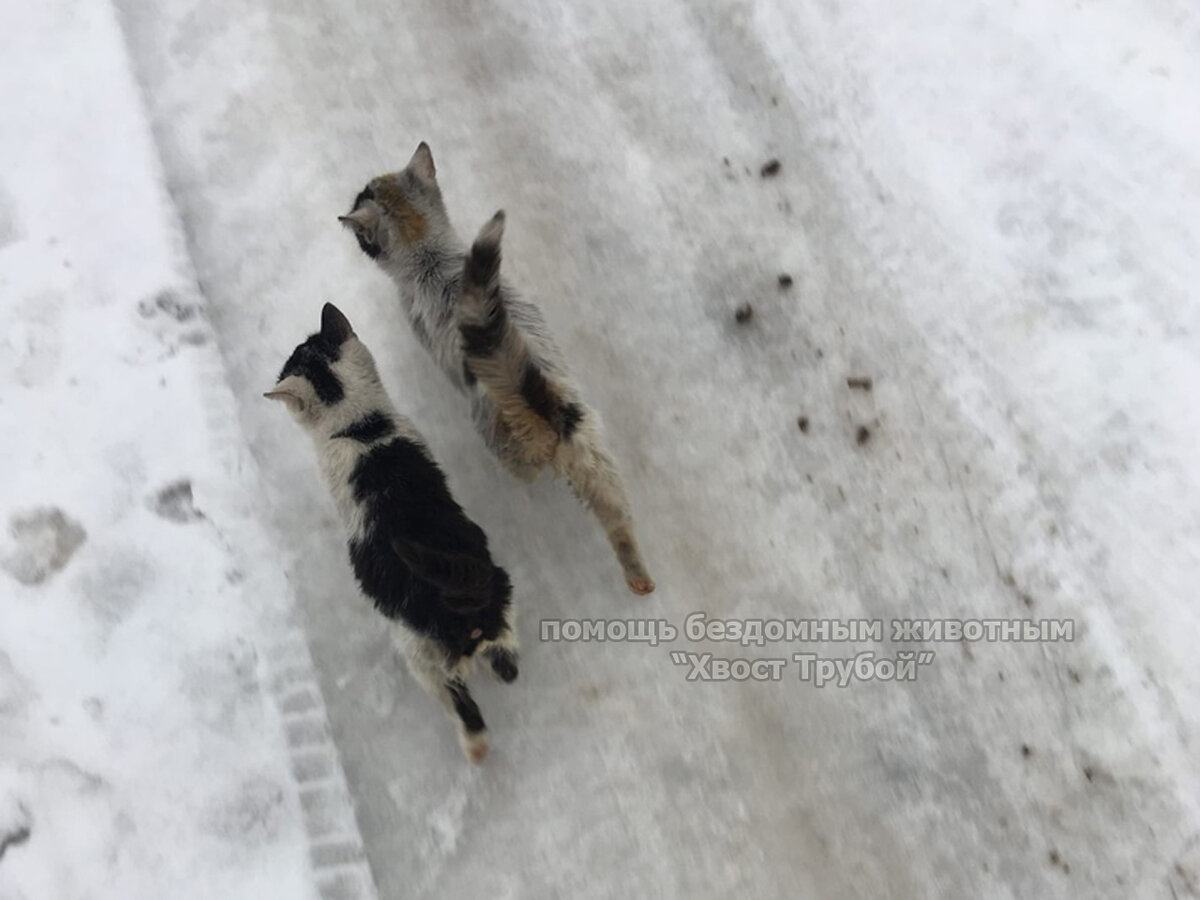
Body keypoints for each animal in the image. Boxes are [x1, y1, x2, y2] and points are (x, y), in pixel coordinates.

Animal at [266, 307, 516, 763]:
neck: (361, 426)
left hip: (420, 655)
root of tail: (456, 596)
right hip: (499, 589)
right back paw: (503, 665)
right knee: (507, 656)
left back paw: (475, 749)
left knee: (464, 710)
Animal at [338, 144, 657, 595]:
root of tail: (537, 402)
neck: (429, 254)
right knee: (619, 522)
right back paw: (639, 579)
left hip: (504, 445)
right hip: (598, 460)